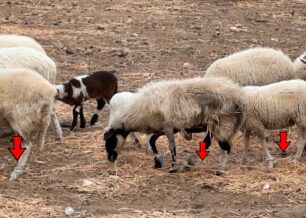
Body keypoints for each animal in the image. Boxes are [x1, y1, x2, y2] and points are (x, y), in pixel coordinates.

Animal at [104, 76, 243, 172]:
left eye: (110, 140)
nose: (110, 158)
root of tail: (237, 97)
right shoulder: (159, 129)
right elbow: (151, 142)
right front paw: (158, 162)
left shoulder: (168, 127)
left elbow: (172, 147)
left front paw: (173, 167)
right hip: (213, 126)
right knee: (207, 143)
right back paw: (190, 163)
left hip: (222, 124)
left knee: (226, 148)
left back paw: (219, 170)